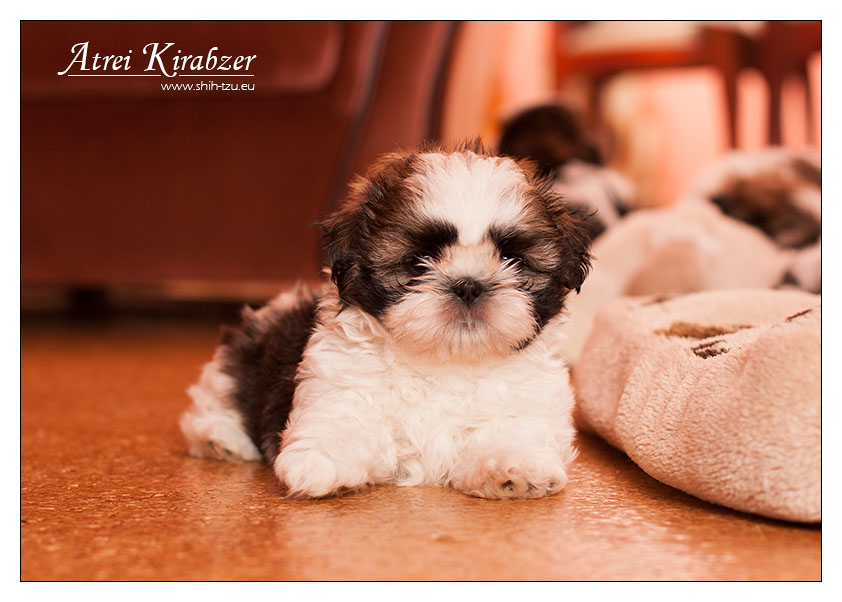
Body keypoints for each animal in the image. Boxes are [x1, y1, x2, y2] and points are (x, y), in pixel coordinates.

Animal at [180, 142, 592, 500]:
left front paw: (513, 467)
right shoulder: (339, 380)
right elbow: (342, 418)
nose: (468, 285)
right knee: (215, 399)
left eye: (513, 260)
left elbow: (513, 429)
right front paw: (322, 460)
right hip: (240, 360)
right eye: (419, 261)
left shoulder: (531, 401)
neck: (447, 363)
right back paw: (220, 438)